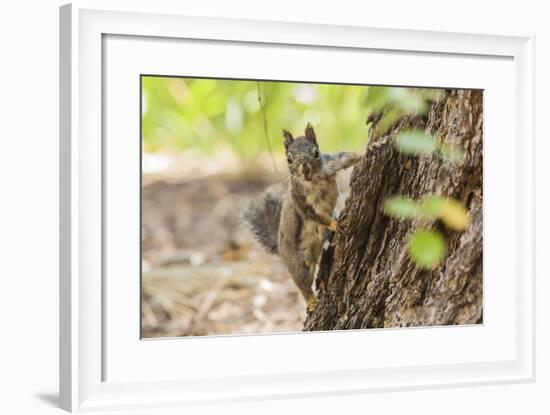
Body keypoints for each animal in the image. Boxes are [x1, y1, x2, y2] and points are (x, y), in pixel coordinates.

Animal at [246, 123, 362, 312]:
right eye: (288, 159)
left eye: (316, 152)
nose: (305, 169)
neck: (313, 180)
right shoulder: (301, 200)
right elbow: (314, 214)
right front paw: (335, 224)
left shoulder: (330, 163)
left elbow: (344, 158)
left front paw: (368, 150)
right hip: (297, 264)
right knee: (302, 285)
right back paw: (311, 301)